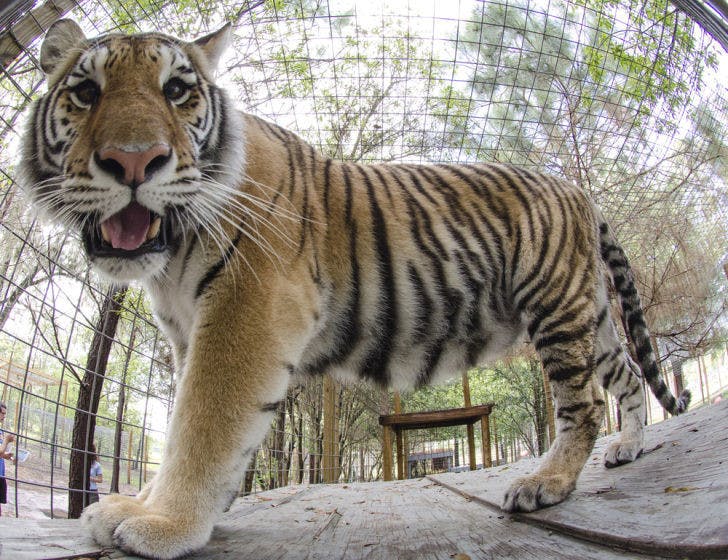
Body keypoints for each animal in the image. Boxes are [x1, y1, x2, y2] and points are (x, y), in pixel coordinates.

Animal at [19, 19, 690, 559]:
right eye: (85, 92)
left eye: (177, 91)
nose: (135, 161)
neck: (172, 248)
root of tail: (578, 190)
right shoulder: (188, 331)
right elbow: (198, 429)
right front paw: (153, 506)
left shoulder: (245, 310)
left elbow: (201, 424)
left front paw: (162, 522)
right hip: (590, 315)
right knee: (630, 376)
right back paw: (630, 447)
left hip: (555, 307)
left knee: (585, 402)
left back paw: (545, 483)